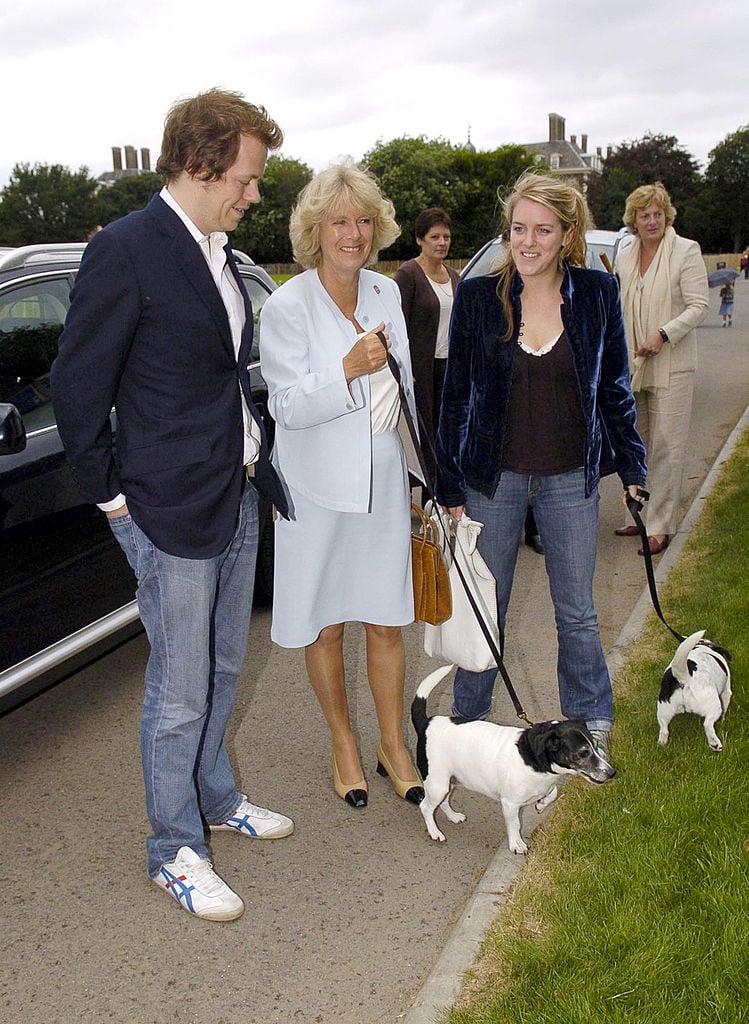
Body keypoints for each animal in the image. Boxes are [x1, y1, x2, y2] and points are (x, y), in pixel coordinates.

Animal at [409, 659, 614, 851]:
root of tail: (427, 723)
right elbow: (515, 825)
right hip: (437, 783)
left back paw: (453, 816)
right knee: (425, 806)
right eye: (583, 753)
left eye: (595, 745)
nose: (612, 773)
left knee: (442, 802)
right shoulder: (510, 804)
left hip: (448, 781)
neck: (532, 758)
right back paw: (434, 832)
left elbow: (553, 793)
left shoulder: (547, 786)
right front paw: (517, 844)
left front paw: (541, 804)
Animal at [655, 622, 733, 753]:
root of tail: (683, 677)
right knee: (707, 724)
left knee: (664, 730)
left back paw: (662, 744)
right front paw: (723, 721)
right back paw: (715, 744)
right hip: (713, 705)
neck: (701, 647)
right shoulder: (726, 692)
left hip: (663, 710)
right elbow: (724, 709)